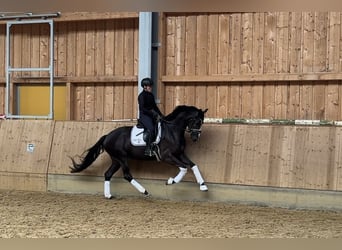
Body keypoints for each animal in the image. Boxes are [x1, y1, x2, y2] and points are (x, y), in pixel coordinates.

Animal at [69, 104, 208, 198]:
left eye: (201, 122)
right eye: (196, 121)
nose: (195, 138)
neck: (172, 131)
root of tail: (107, 136)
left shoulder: (180, 154)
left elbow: (193, 165)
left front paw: (203, 186)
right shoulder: (166, 156)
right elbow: (184, 168)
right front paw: (171, 181)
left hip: (116, 160)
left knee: (108, 174)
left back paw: (108, 195)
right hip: (122, 158)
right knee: (127, 175)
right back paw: (144, 191)